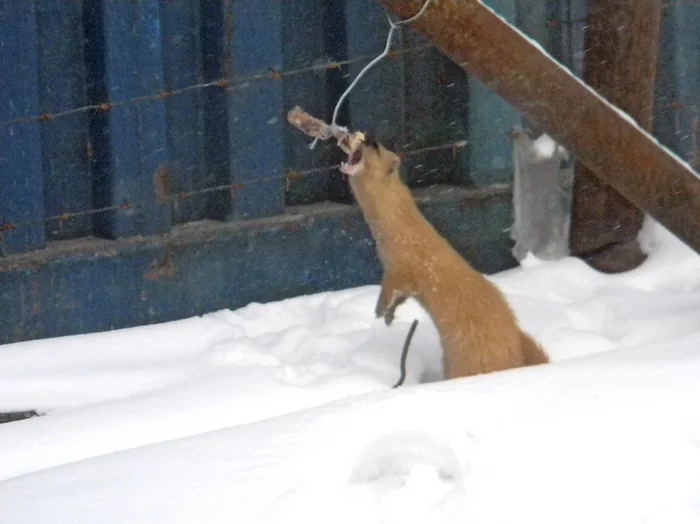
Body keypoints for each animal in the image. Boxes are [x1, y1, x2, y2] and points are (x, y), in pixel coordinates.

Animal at [342, 137, 548, 378]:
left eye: (375, 147)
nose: (369, 138)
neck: (397, 233)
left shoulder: (406, 264)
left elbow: (396, 285)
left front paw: (380, 309)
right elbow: (401, 294)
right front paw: (389, 315)